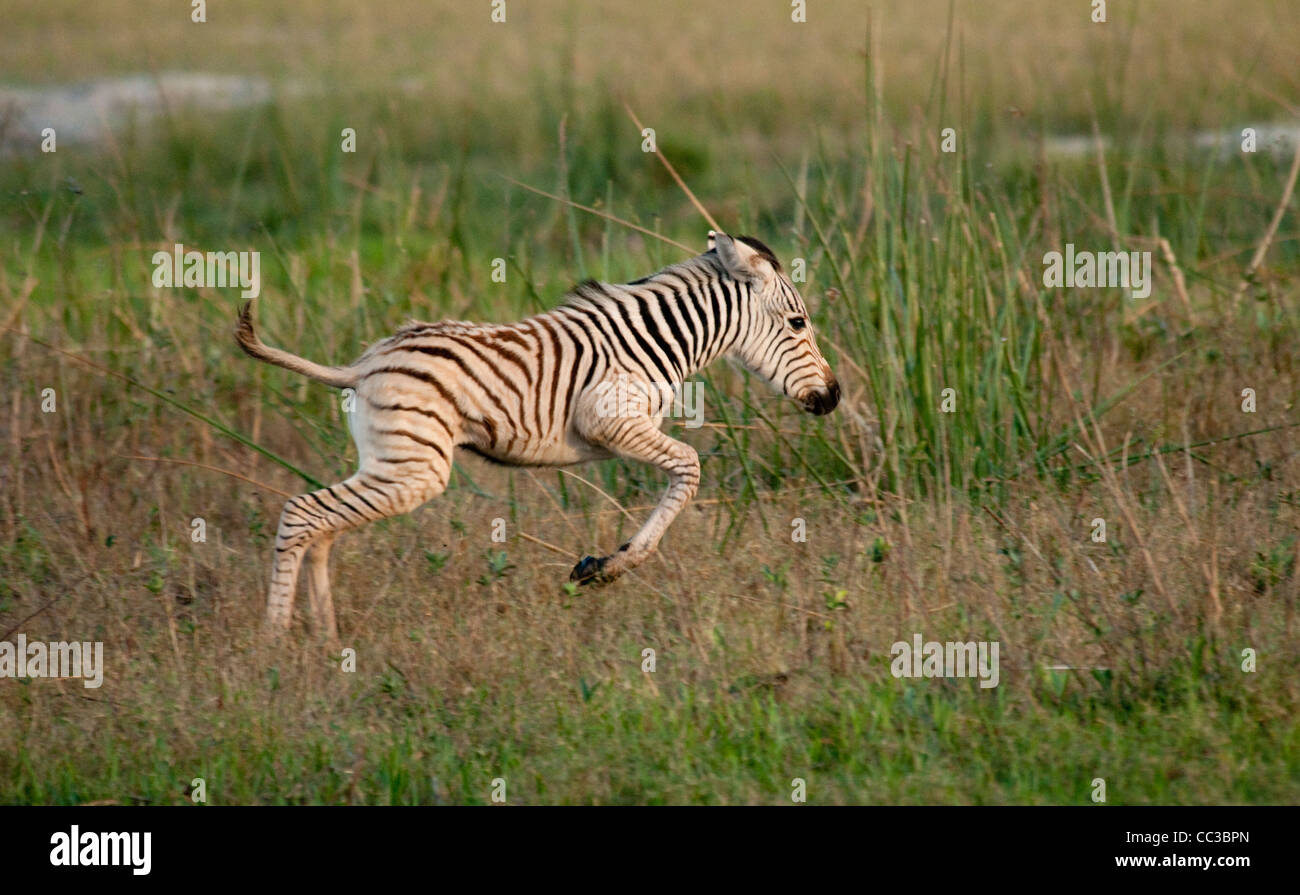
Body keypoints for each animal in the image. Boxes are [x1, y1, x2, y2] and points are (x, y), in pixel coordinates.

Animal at [236, 230, 840, 639]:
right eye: (798, 324)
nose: (833, 397)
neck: (657, 340)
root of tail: (364, 364)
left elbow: (681, 473)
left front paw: (602, 563)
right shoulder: (610, 421)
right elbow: (690, 467)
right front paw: (608, 568)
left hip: (391, 463)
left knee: (324, 528)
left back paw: (327, 638)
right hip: (413, 468)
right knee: (303, 514)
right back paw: (274, 643)